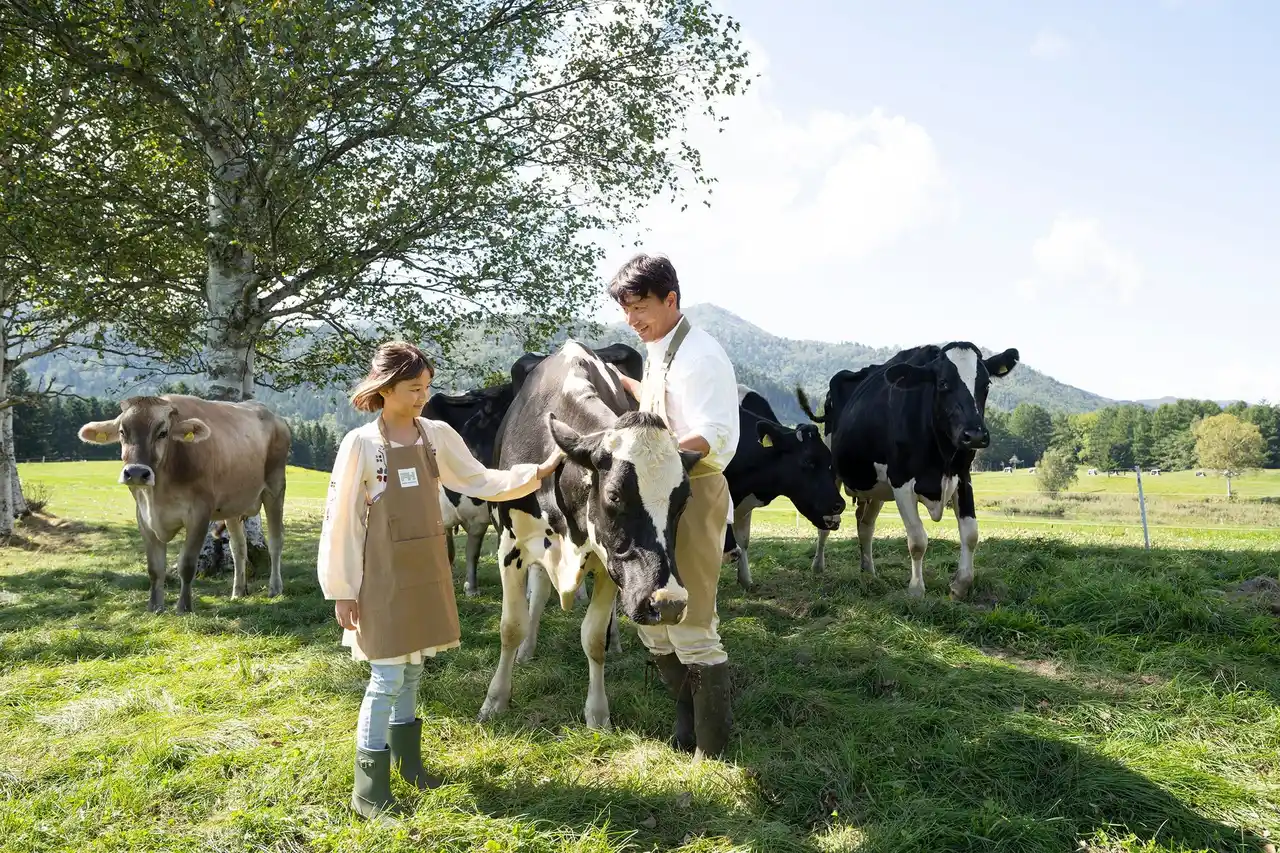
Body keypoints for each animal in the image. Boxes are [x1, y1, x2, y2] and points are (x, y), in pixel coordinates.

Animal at [77, 395, 291, 613]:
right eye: (122, 431)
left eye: (163, 433)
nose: (136, 473)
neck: (158, 494)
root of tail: (273, 416)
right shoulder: (144, 517)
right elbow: (155, 568)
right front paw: (154, 607)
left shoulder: (199, 513)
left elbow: (187, 564)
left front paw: (184, 607)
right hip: (233, 505)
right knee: (238, 547)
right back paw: (238, 591)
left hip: (275, 488)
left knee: (275, 541)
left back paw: (275, 588)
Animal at [477, 341, 700, 731]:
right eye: (614, 495)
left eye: (683, 500)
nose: (668, 603)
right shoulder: (511, 546)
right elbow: (511, 626)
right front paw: (495, 699)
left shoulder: (610, 560)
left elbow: (593, 637)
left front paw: (597, 713)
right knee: (539, 594)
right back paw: (528, 649)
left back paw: (615, 641)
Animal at [719, 385, 845, 589]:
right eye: (808, 461)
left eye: (831, 463)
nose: (839, 504)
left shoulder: (744, 504)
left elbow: (743, 540)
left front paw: (745, 580)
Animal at [798, 343, 1019, 599]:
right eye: (943, 383)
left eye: (986, 385)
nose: (974, 435)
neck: (942, 458)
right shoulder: (901, 482)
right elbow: (917, 540)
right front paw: (916, 590)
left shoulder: (963, 477)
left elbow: (971, 534)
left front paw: (960, 585)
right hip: (833, 474)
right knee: (826, 523)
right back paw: (818, 566)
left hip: (876, 488)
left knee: (865, 526)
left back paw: (869, 571)